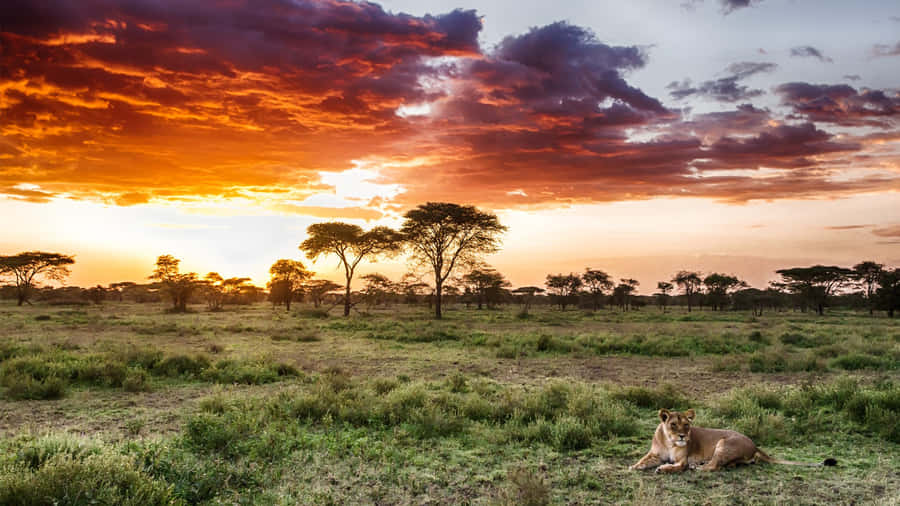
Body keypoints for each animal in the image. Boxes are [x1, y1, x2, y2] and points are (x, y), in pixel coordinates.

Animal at [629, 409, 837, 473]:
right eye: (673, 424)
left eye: (686, 425)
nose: (682, 436)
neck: (669, 442)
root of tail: (755, 444)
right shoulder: (655, 454)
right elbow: (643, 460)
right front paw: (634, 466)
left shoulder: (682, 460)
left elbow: (677, 466)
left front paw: (663, 469)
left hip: (723, 444)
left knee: (714, 466)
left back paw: (699, 467)